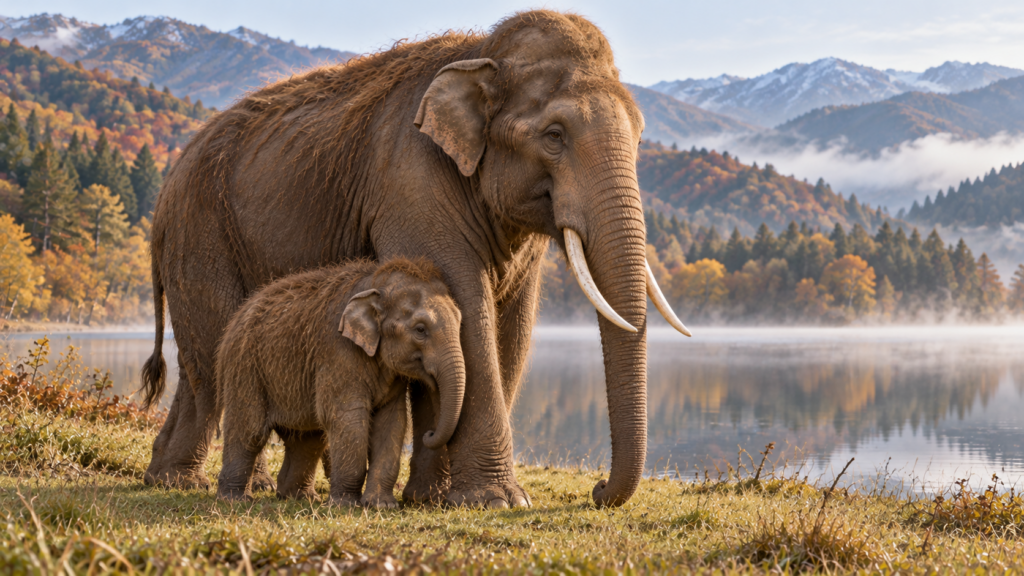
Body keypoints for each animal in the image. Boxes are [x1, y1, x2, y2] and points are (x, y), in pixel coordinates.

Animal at [215, 258, 464, 508]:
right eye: (420, 330)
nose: (429, 433)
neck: (376, 283)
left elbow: (392, 421)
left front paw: (381, 505)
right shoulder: (338, 352)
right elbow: (347, 416)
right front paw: (346, 505)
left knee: (307, 438)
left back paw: (299, 496)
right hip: (245, 368)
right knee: (250, 430)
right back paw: (235, 500)